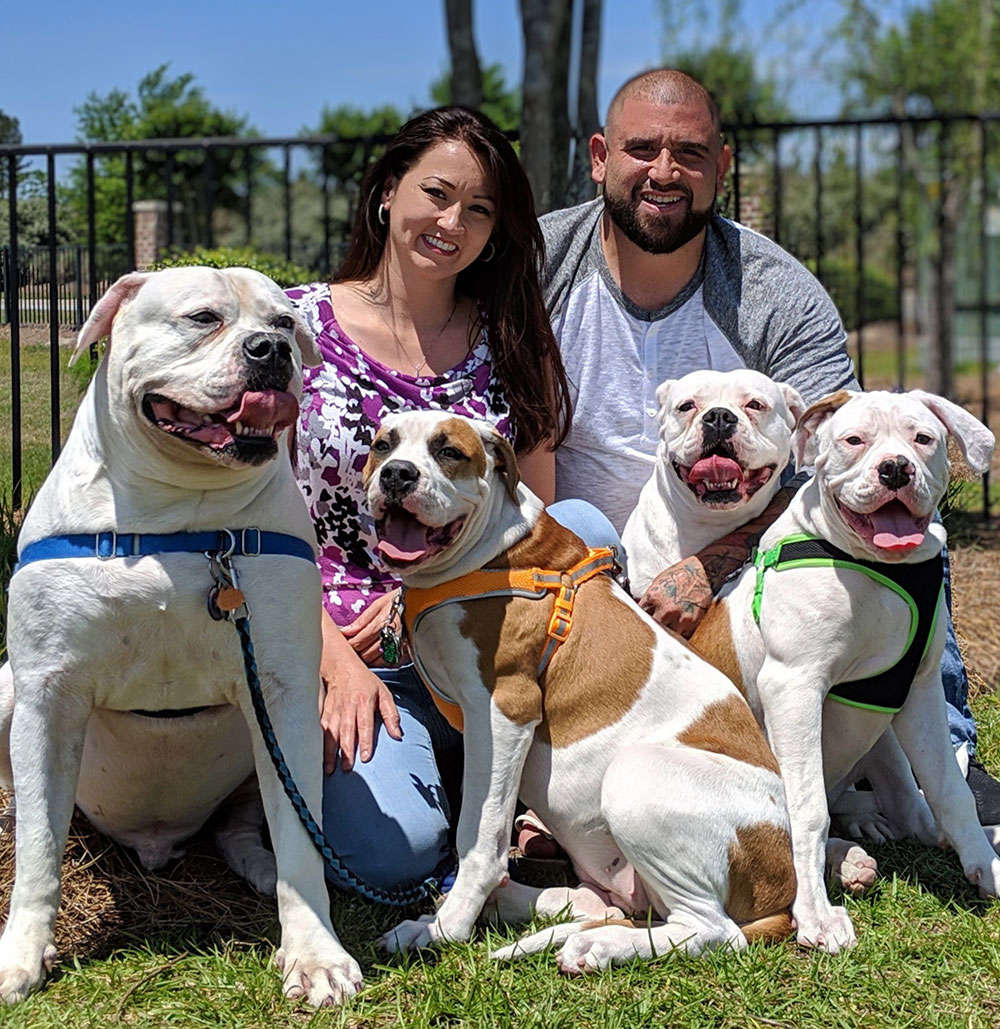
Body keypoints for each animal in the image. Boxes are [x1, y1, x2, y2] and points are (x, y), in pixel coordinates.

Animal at [0, 265, 366, 1004]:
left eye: (284, 323)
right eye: (203, 318)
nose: (269, 350)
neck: (179, 515)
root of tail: (154, 840)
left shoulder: (284, 694)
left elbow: (299, 834)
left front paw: (315, 952)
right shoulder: (47, 695)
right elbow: (39, 852)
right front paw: (21, 952)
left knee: (248, 826)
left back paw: (261, 867)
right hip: (6, 693)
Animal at [364, 407, 794, 971]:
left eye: (448, 452)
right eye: (382, 445)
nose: (397, 474)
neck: (489, 553)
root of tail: (785, 888)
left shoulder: (504, 711)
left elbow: (478, 833)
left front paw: (448, 926)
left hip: (636, 777)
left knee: (711, 930)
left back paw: (599, 945)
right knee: (606, 905)